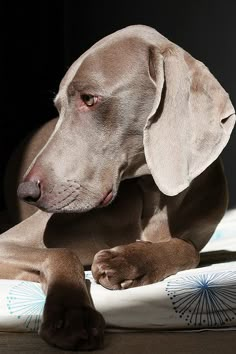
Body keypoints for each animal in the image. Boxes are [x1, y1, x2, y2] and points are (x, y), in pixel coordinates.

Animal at [0, 25, 235, 352]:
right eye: (58, 108)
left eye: (89, 99)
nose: (26, 192)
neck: (151, 193)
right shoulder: (7, 242)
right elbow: (62, 253)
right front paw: (71, 314)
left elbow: (189, 250)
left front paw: (128, 261)